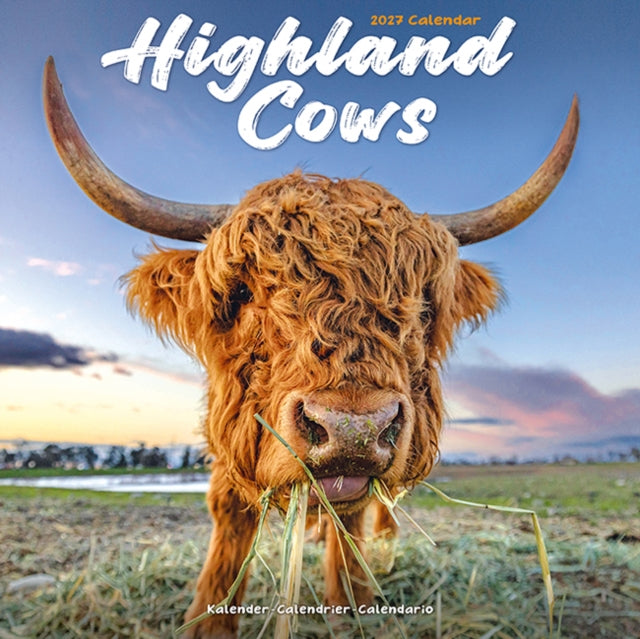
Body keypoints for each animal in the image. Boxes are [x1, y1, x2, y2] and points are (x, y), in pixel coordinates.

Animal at [43, 57, 578, 638]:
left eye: (423, 305)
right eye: (242, 292)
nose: (353, 430)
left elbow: (354, 514)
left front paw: (353, 600)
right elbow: (229, 505)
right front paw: (209, 617)